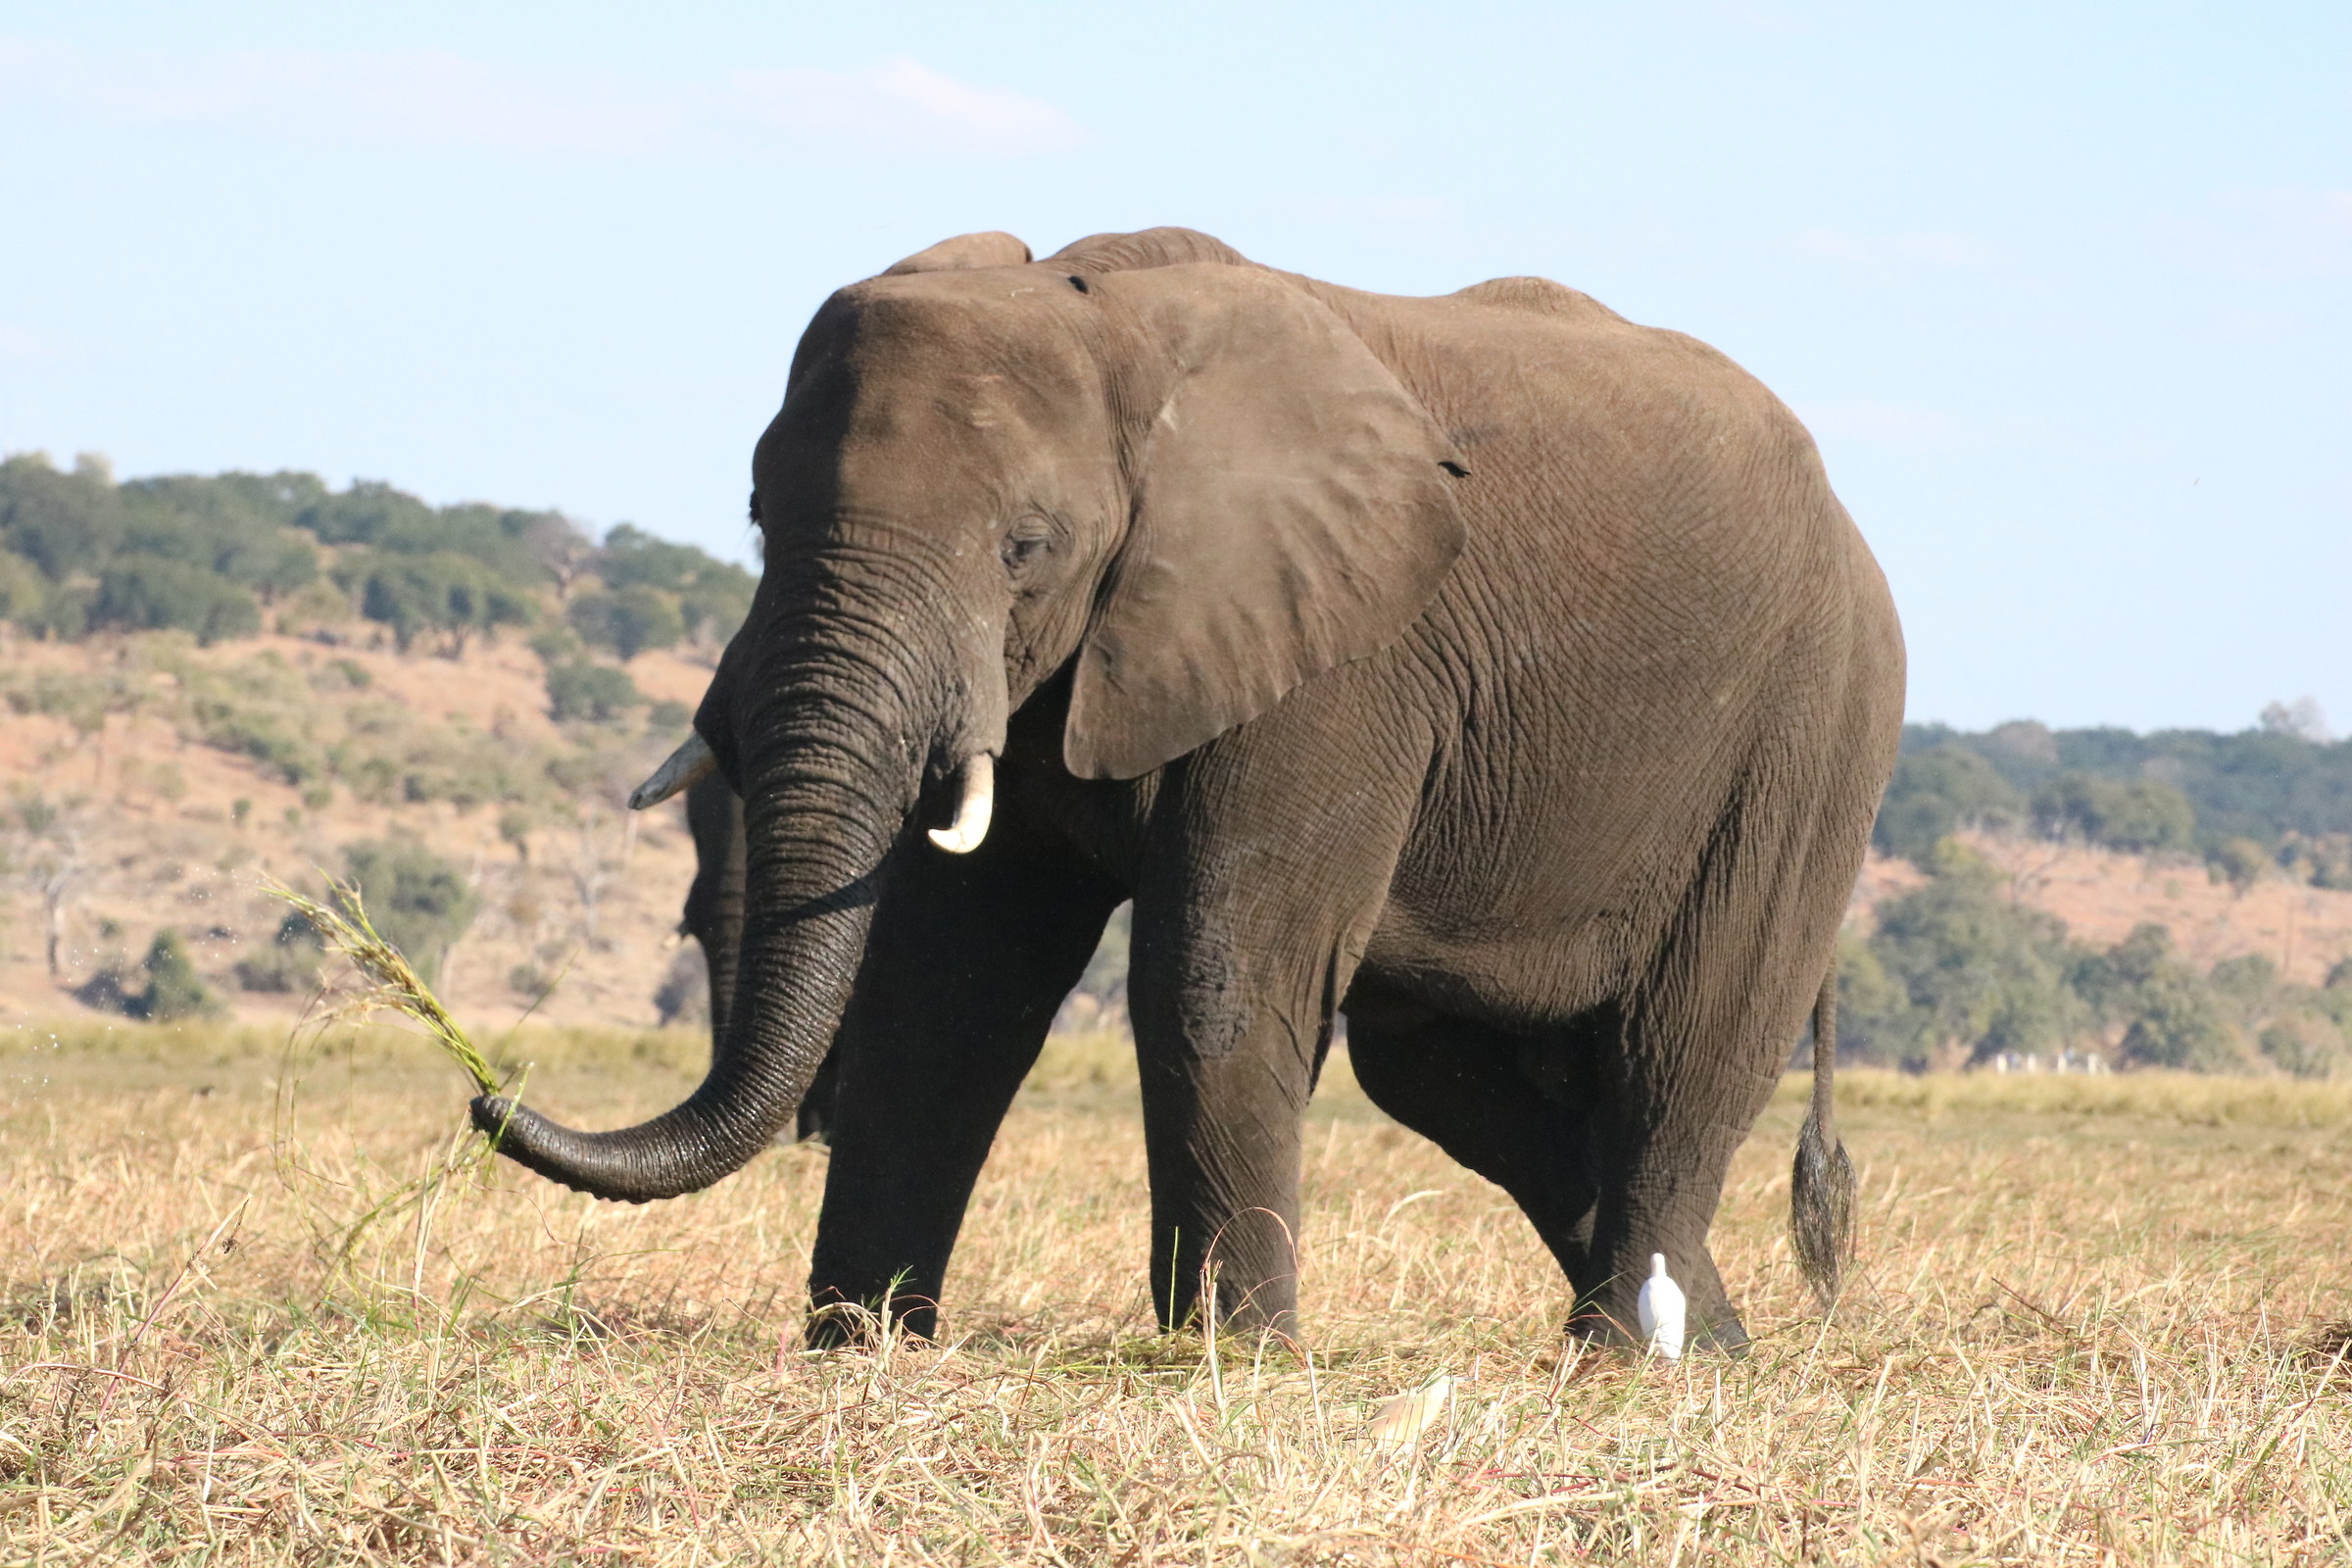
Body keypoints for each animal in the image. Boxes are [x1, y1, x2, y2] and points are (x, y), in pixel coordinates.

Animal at [480, 225, 1904, 1352]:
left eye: (1026, 547)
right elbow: (946, 989)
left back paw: (1627, 1352)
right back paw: (1708, 1341)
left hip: (1814, 731)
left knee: (1684, 1047)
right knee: (1444, 1076)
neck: (1107, 321)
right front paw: (862, 1341)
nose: (490, 1092)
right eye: (759, 515)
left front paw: (1236, 1356)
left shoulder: (1341, 652)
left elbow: (1211, 973)